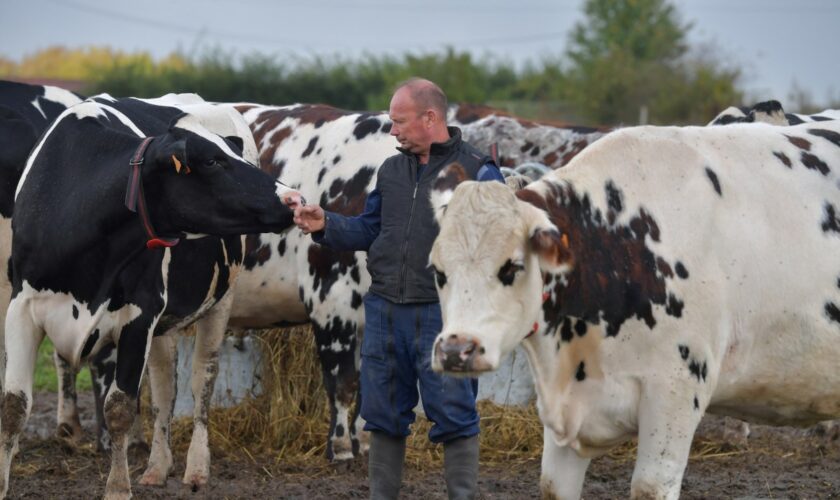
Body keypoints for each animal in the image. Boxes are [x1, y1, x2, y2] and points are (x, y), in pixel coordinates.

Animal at [0, 95, 298, 498]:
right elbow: (14, 406)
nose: (294, 198)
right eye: (211, 161)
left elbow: (120, 407)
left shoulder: (138, 315)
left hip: (220, 302)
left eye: (231, 154)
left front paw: (117, 488)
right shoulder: (22, 307)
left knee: (202, 381)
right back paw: (157, 467)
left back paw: (196, 468)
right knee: (164, 388)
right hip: (164, 325)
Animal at [426, 118, 840, 500]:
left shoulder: (676, 392)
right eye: (438, 271)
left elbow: (649, 486)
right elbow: (552, 486)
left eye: (511, 266)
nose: (456, 350)